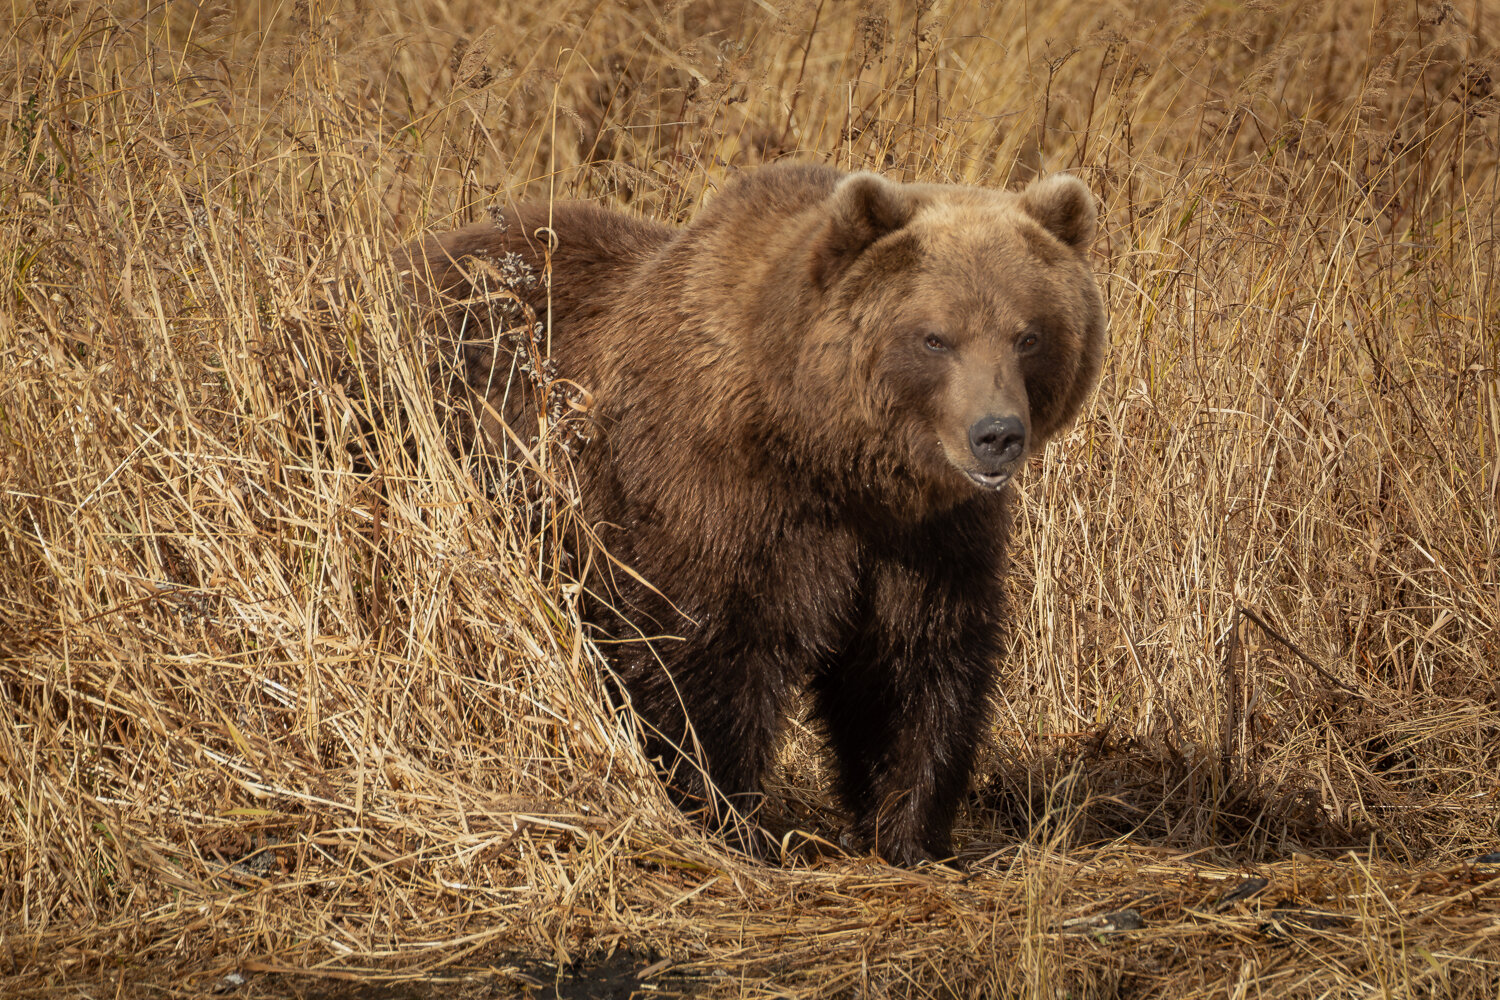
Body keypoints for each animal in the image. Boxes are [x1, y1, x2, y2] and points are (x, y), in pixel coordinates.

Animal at [404, 162, 1106, 866]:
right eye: (935, 337)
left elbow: (914, 660)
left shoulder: (927, 536)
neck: (827, 452)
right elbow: (702, 652)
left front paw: (908, 828)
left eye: (1028, 335)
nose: (997, 434)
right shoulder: (717, 497)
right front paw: (726, 815)